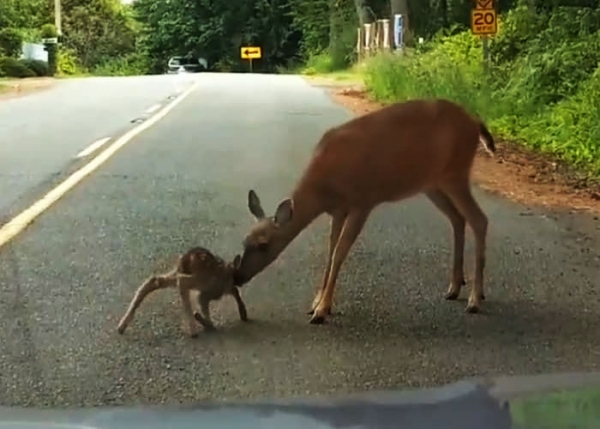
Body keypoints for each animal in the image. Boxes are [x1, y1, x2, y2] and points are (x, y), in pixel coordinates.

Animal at [232, 98, 494, 324]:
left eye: (263, 245)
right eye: (244, 241)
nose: (238, 277)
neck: (324, 188)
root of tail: (474, 121)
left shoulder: (363, 201)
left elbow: (339, 252)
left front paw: (322, 310)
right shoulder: (338, 210)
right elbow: (330, 250)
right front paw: (316, 301)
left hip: (455, 173)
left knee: (479, 219)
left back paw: (474, 299)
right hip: (432, 184)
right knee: (458, 218)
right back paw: (455, 287)